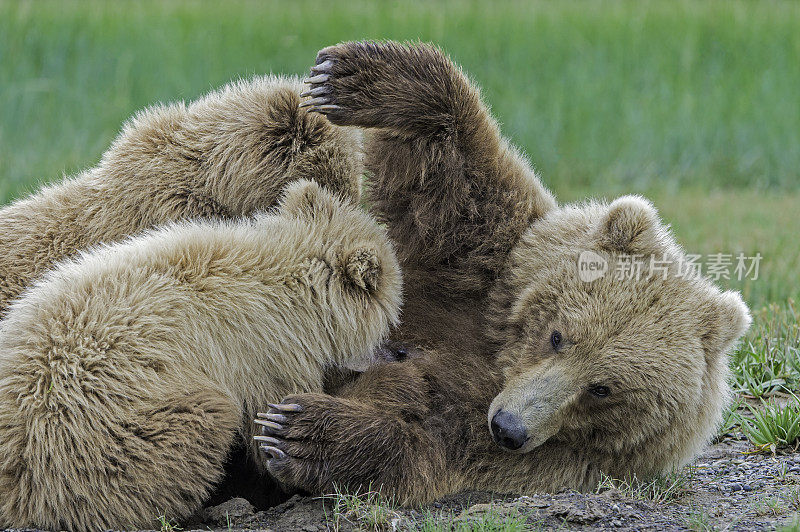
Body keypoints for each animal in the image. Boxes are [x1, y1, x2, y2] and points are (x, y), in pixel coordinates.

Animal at [260, 41, 752, 502]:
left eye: (603, 389)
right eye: (557, 336)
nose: (509, 426)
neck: (496, 359)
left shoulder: (536, 455)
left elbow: (423, 441)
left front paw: (299, 433)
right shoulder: (483, 270)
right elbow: (453, 182)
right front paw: (346, 75)